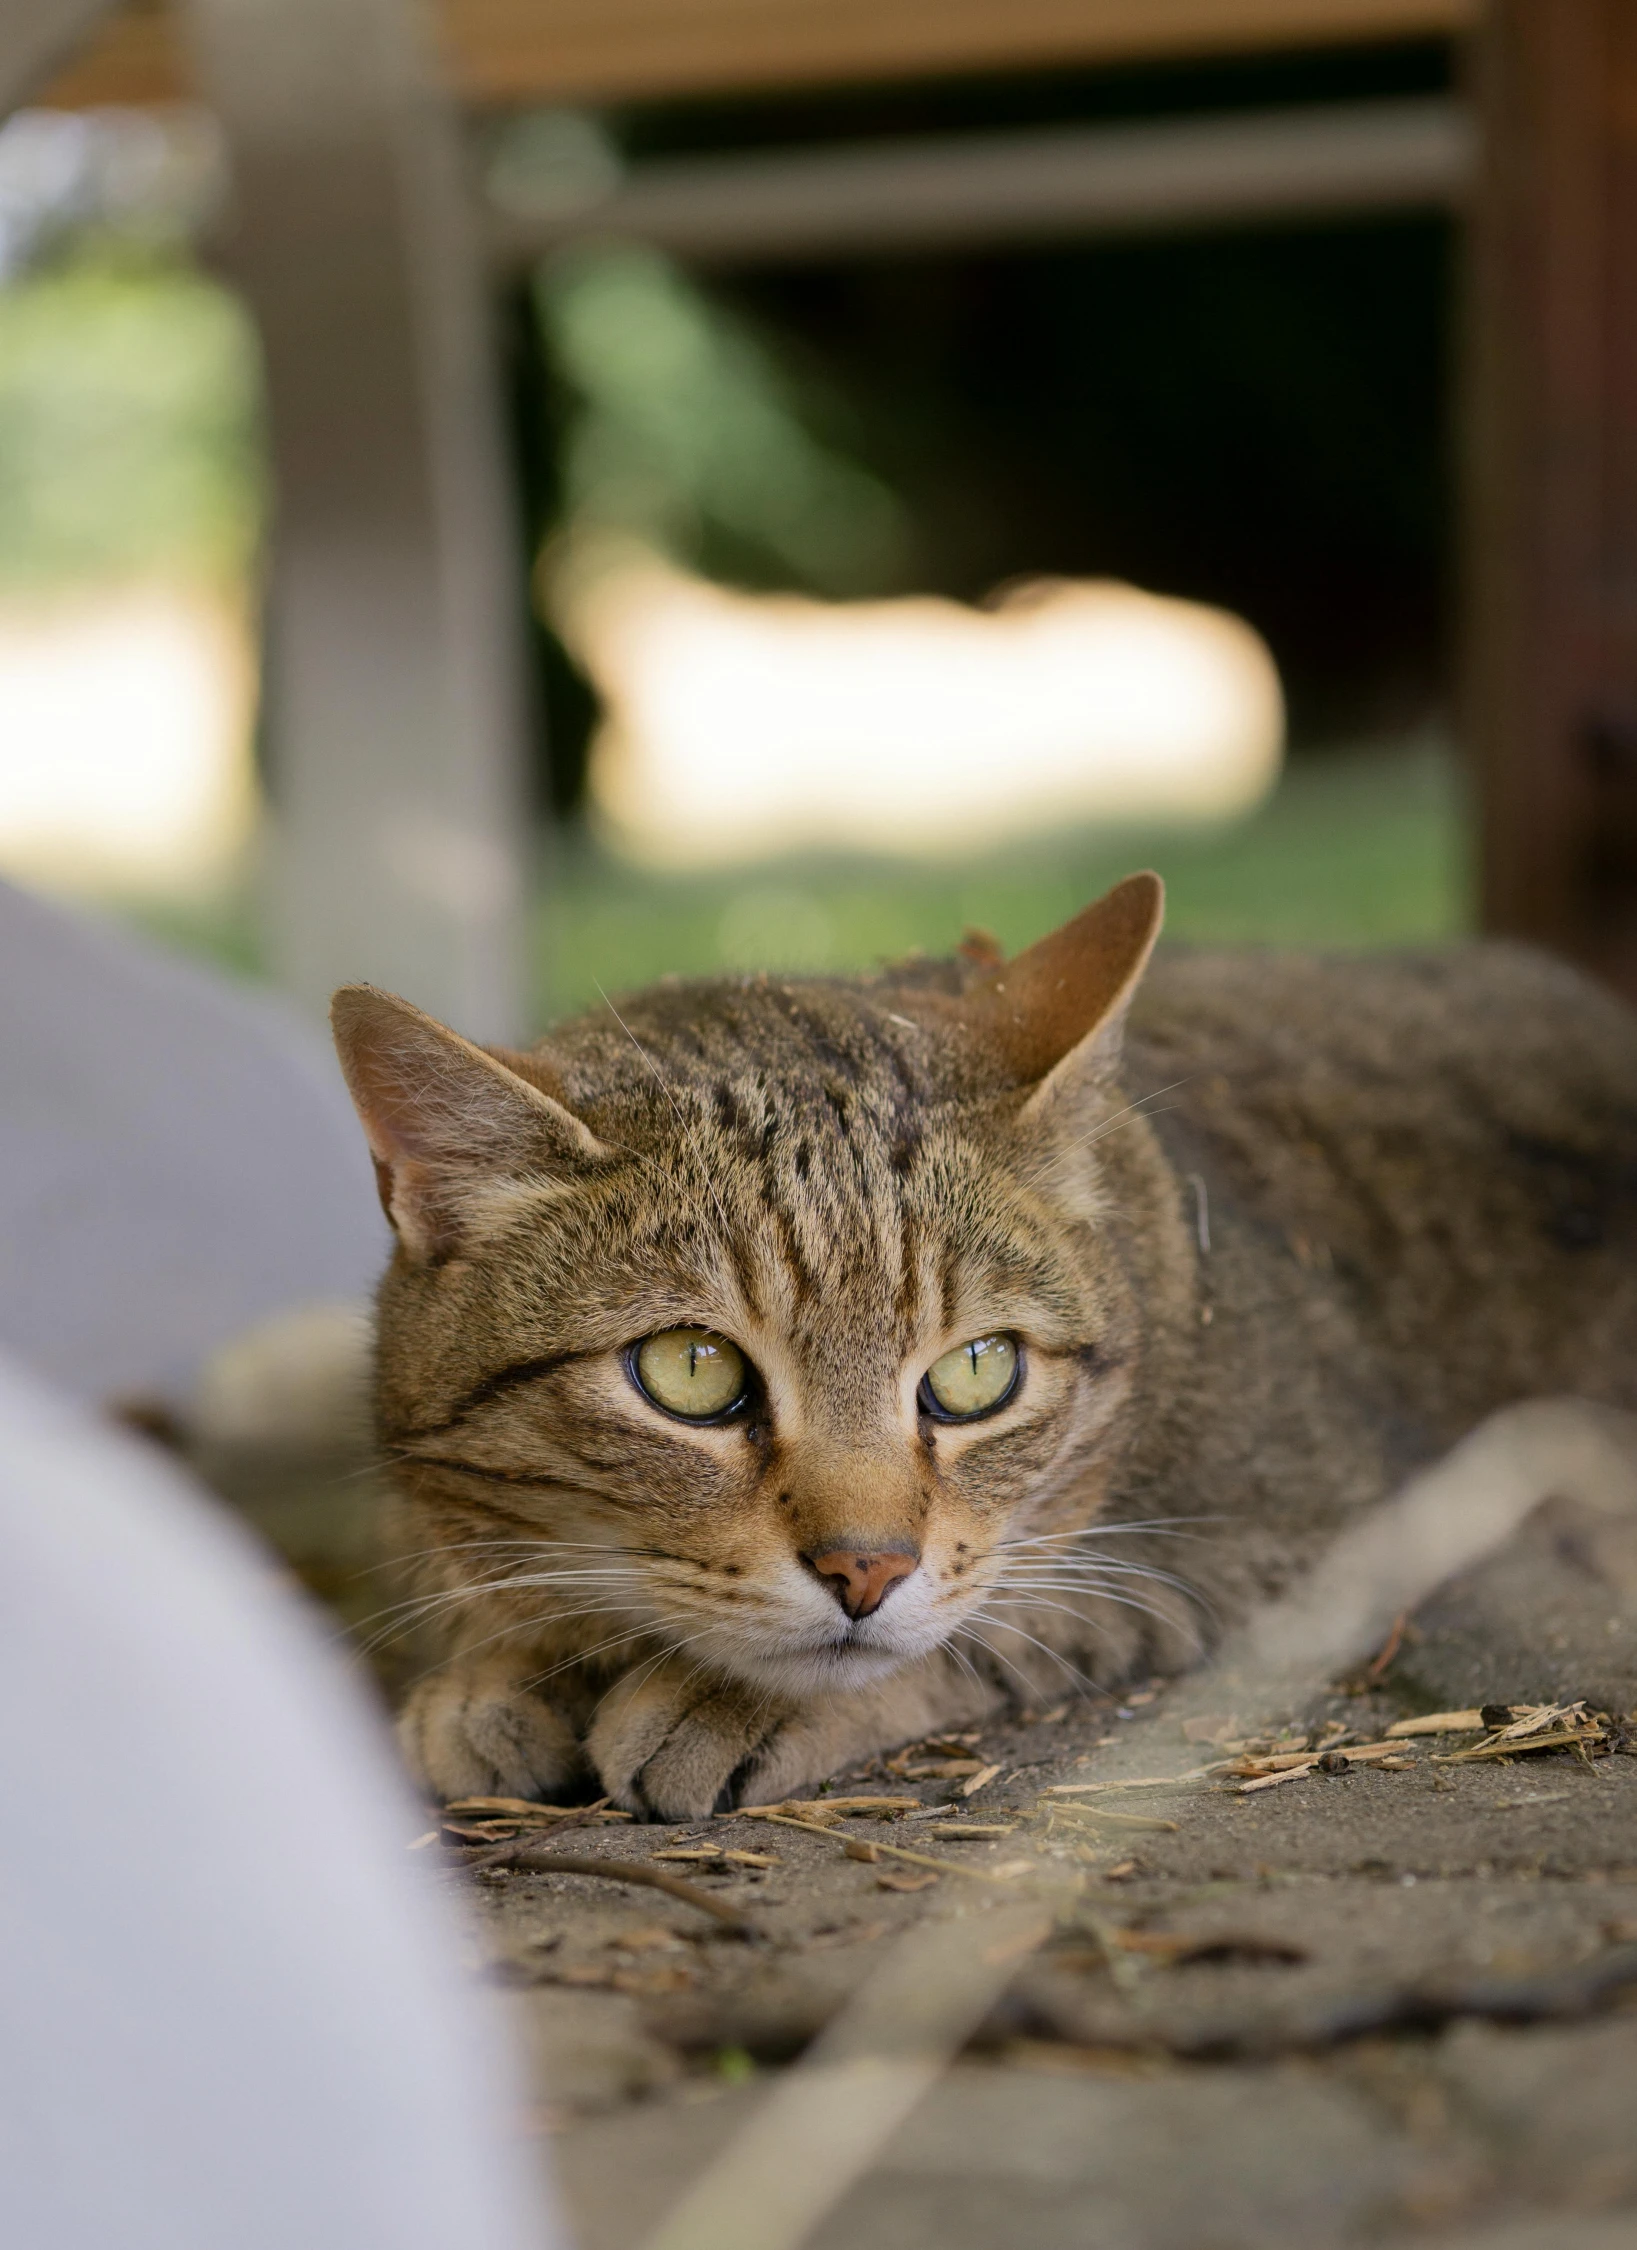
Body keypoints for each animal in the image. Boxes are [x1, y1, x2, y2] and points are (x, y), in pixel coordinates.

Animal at [328, 868, 1637, 1818]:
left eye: (975, 1372)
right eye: (690, 1374)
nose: (864, 1571)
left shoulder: (1295, 1538)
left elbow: (1002, 1622)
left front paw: (716, 1701)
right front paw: (490, 1674)